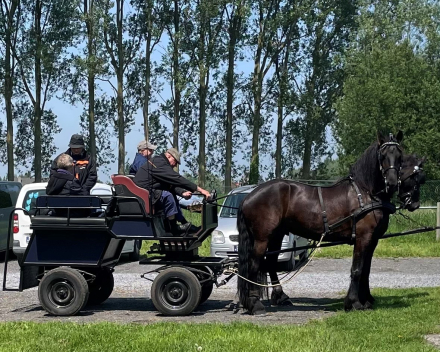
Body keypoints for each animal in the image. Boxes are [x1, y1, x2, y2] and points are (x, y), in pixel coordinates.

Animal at [237, 132, 406, 316]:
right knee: (254, 265)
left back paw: (280, 297)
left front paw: (366, 300)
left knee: (270, 264)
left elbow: (366, 270)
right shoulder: (363, 237)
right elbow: (357, 269)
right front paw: (354, 303)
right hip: (262, 238)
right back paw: (255, 304)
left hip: (276, 236)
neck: (365, 193)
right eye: (382, 156)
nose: (392, 183)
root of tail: (248, 197)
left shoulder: (372, 240)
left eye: (400, 155)